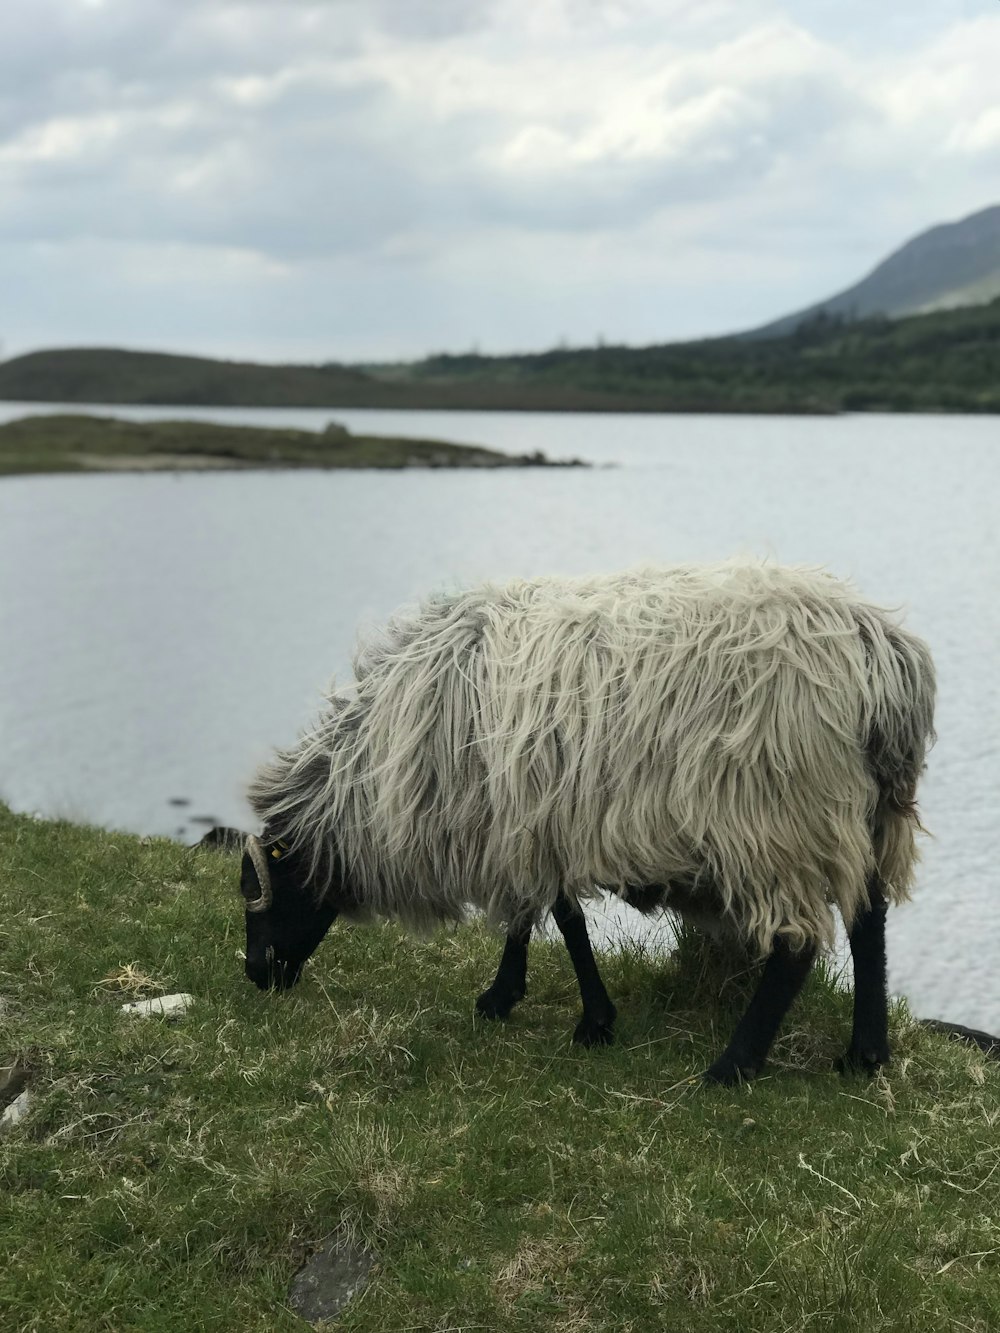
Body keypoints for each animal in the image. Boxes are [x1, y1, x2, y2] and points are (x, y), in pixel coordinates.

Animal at [238, 562, 938, 1082]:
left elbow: (560, 920)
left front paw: (583, 1018)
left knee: (797, 945)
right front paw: (511, 998)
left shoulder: (524, 822)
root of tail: (884, 659)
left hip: (779, 821)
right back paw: (865, 1055)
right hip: (865, 818)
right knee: (869, 921)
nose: (256, 976)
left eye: (269, 889)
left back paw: (733, 1066)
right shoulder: (531, 823)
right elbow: (540, 916)